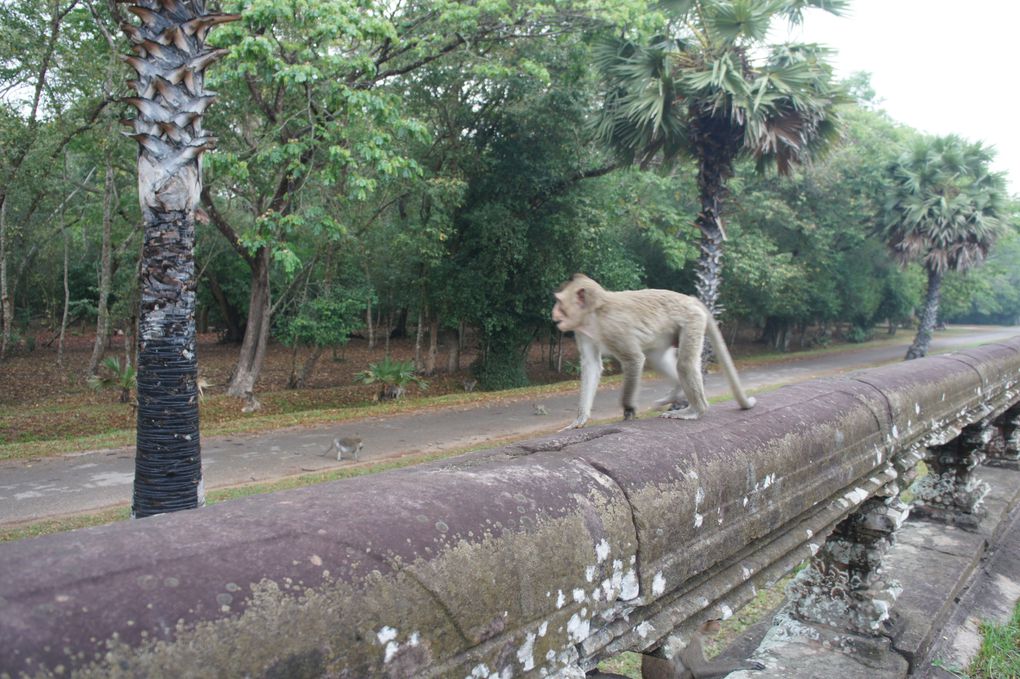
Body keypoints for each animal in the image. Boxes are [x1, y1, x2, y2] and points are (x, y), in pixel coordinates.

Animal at [550, 271, 758, 426]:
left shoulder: (614, 329)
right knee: (657, 360)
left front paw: (628, 408)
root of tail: (689, 299)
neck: (594, 314)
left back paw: (695, 410)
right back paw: (676, 393)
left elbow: (634, 360)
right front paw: (580, 419)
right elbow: (592, 366)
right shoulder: (582, 332)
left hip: (692, 320)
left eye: (559, 302)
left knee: (684, 365)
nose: (553, 313)